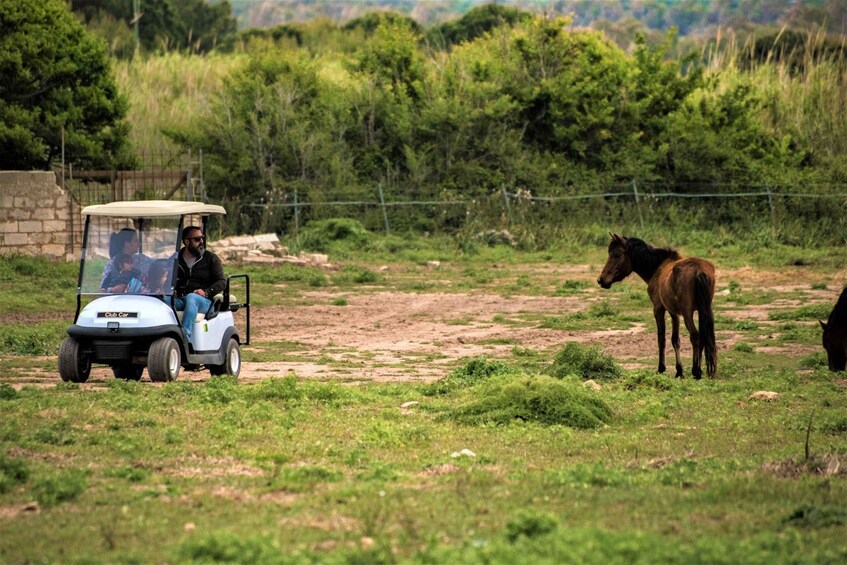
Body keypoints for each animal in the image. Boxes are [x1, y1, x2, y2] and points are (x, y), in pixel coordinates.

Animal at [596, 234, 716, 378]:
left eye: (617, 254)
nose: (601, 280)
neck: (658, 268)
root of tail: (698, 270)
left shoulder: (658, 309)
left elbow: (661, 339)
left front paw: (661, 368)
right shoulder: (674, 313)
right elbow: (675, 340)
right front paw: (679, 371)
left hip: (688, 313)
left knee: (695, 336)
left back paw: (696, 371)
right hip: (706, 310)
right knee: (704, 336)